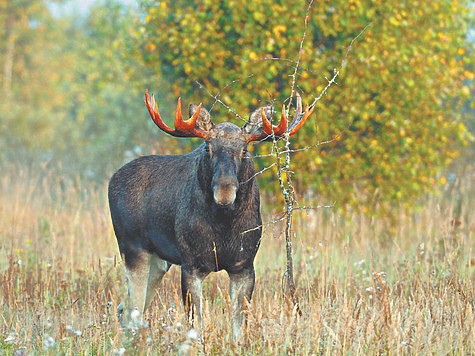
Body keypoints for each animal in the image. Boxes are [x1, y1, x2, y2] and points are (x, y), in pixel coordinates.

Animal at [109, 89, 316, 340]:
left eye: (244, 149)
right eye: (207, 148)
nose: (224, 191)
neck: (224, 227)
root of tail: (112, 179)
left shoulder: (244, 266)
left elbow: (238, 327)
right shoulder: (191, 265)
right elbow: (196, 324)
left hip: (159, 262)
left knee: (125, 307)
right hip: (133, 249)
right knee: (132, 309)